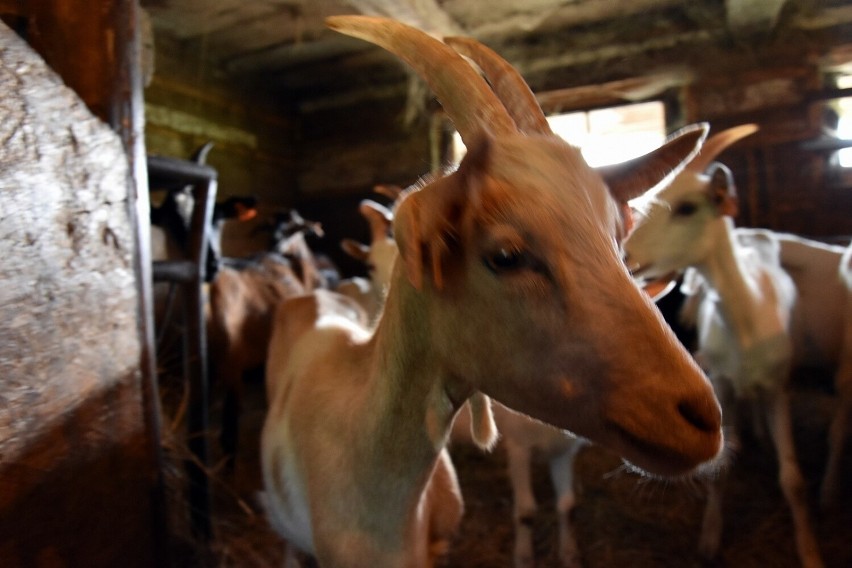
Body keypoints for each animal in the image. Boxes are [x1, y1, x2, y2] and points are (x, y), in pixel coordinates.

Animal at [624, 125, 824, 568]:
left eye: (687, 208)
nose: (625, 254)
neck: (746, 318)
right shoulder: (722, 385)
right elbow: (720, 472)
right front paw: (711, 539)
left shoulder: (778, 387)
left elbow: (793, 478)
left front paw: (809, 550)